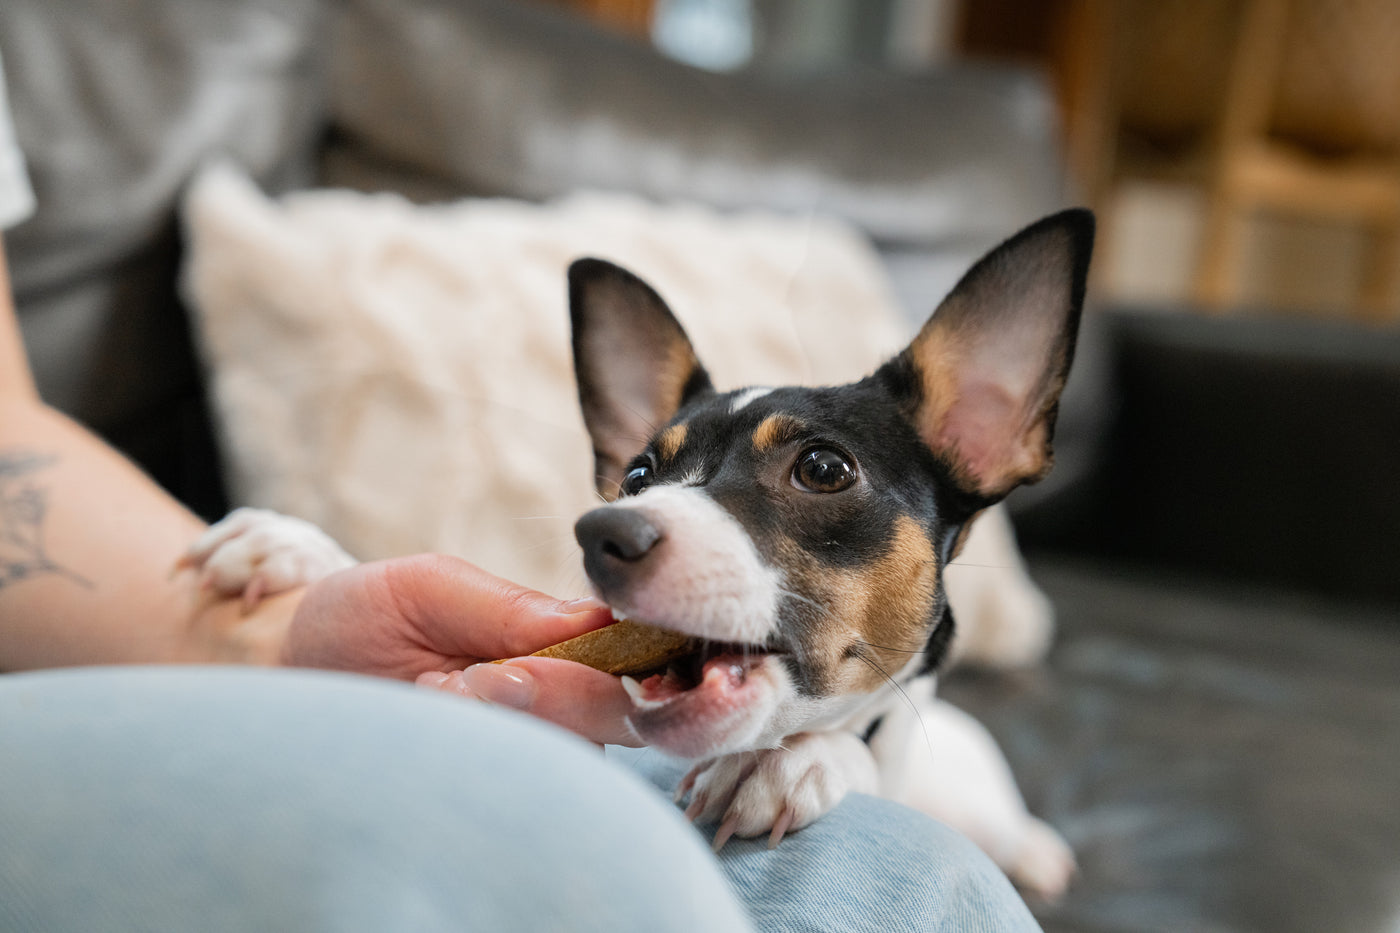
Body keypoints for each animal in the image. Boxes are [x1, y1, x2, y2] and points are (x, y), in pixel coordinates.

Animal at [180, 208, 1092, 896]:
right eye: (639, 475)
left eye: (825, 469)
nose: (604, 532)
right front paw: (299, 546)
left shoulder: (892, 747)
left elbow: (860, 749)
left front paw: (795, 761)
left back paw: (1036, 848)